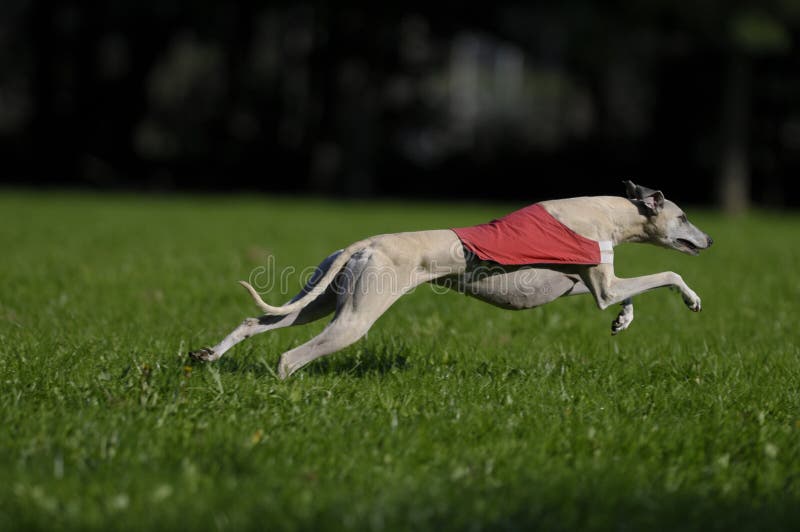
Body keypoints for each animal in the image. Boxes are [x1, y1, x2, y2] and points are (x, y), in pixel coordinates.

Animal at [192, 183, 712, 378]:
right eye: (684, 216)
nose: (709, 240)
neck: (609, 211)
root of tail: (366, 242)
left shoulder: (585, 280)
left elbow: (615, 296)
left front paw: (623, 321)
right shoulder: (603, 281)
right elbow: (666, 272)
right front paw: (692, 299)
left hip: (317, 300)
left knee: (255, 322)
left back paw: (209, 355)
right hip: (355, 317)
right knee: (290, 356)